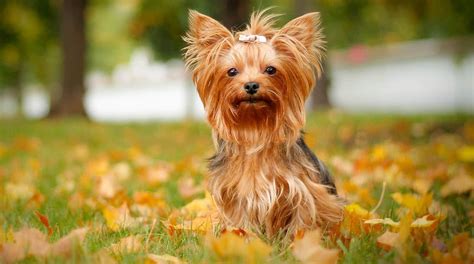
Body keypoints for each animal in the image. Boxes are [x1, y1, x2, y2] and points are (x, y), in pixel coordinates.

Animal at [183, 9, 342, 237]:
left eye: (270, 70)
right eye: (232, 71)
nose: (251, 85)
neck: (255, 129)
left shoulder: (304, 191)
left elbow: (303, 219)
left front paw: (299, 242)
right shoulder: (235, 195)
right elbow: (240, 221)